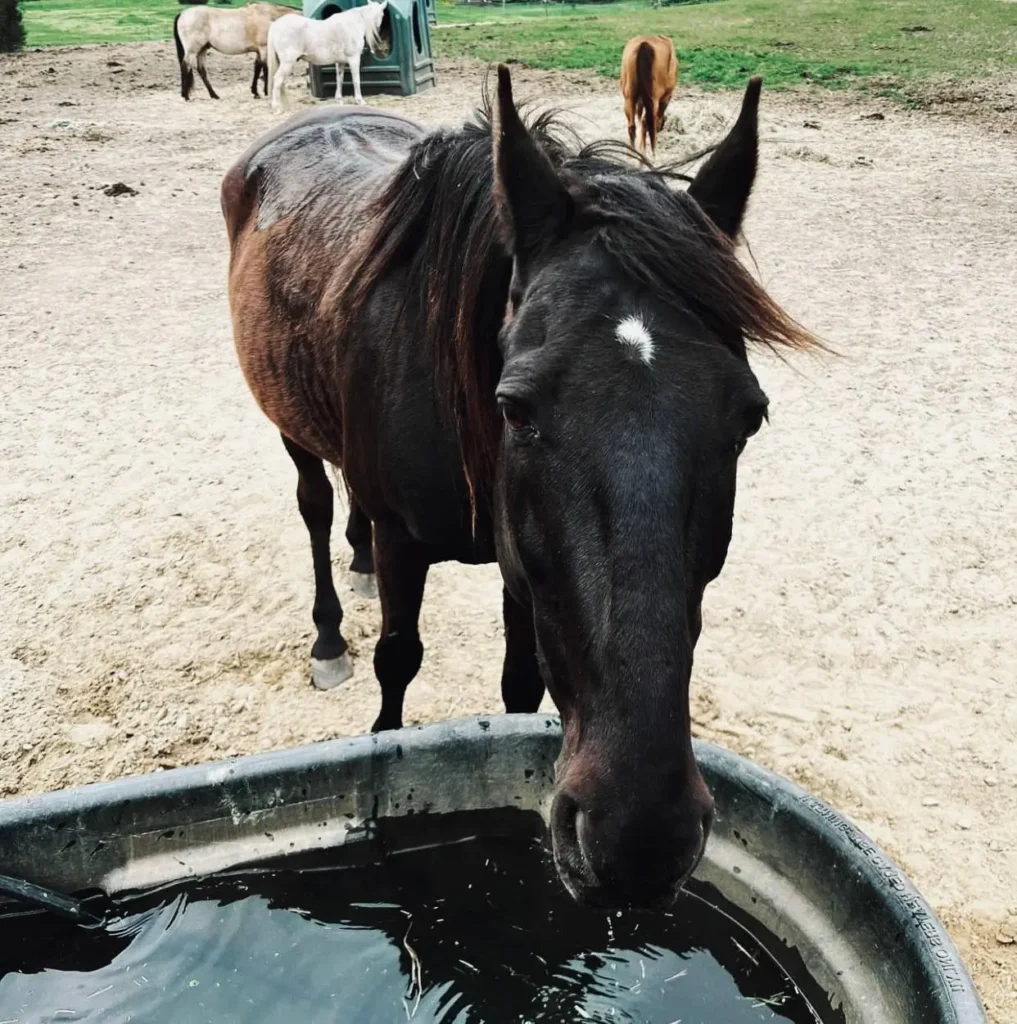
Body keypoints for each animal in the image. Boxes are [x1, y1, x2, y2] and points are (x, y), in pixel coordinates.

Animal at [222, 68, 819, 909]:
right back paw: (330, 634)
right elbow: (397, 660)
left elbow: (519, 684)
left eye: (750, 416)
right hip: (290, 428)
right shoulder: (408, 542)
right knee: (315, 505)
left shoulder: (520, 567)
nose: (641, 835)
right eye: (516, 408)